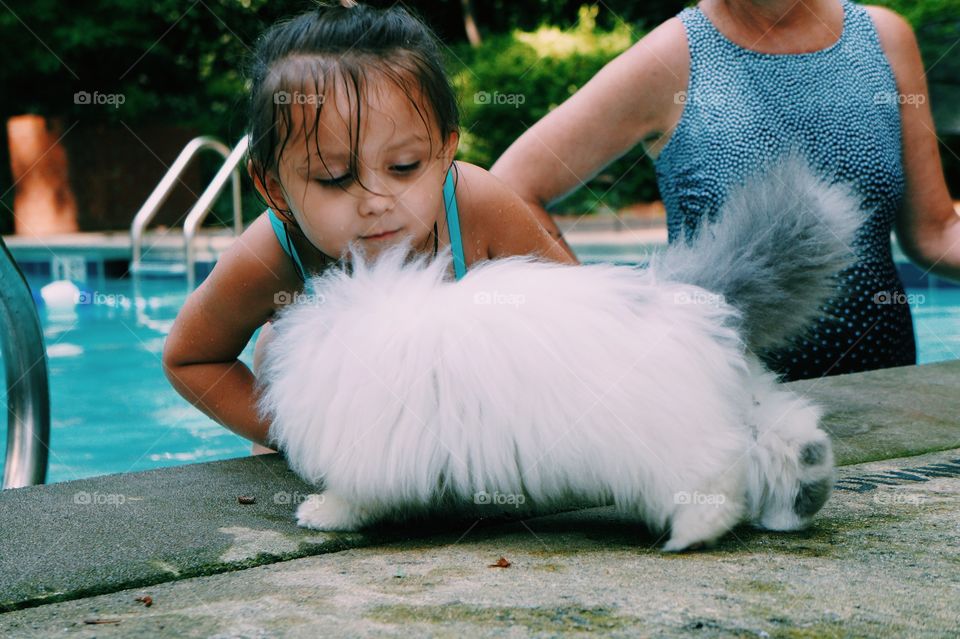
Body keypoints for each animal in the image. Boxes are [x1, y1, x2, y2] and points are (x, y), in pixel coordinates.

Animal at [256, 155, 864, 552]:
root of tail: (683, 296)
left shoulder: (375, 448)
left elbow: (354, 495)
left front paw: (321, 514)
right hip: (731, 400)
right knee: (788, 438)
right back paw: (803, 492)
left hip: (668, 435)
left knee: (716, 480)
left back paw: (691, 535)